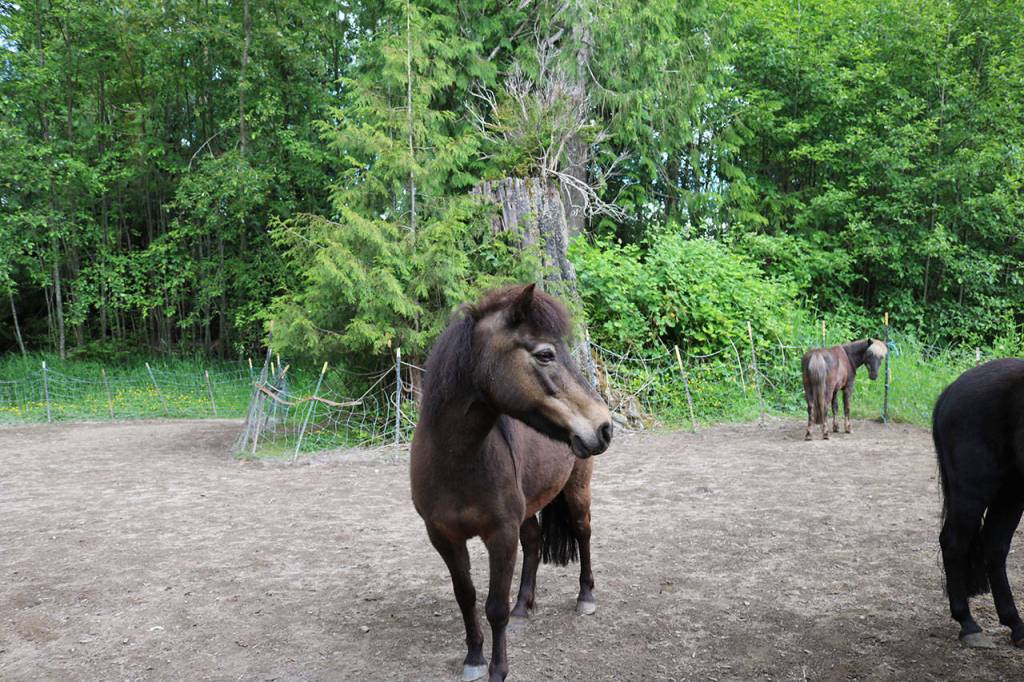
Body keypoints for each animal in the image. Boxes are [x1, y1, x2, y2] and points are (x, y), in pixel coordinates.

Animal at [410, 284, 614, 681]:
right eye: (546, 354)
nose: (605, 426)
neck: (456, 461)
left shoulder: (500, 534)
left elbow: (494, 607)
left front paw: (497, 669)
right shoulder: (443, 537)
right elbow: (466, 596)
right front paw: (474, 658)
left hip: (576, 491)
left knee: (583, 532)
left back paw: (586, 597)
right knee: (534, 543)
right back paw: (524, 606)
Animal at [933, 359, 1024, 648]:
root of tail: (953, 387)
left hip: (1011, 493)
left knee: (995, 547)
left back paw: (1016, 624)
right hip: (974, 492)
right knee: (954, 543)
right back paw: (968, 623)